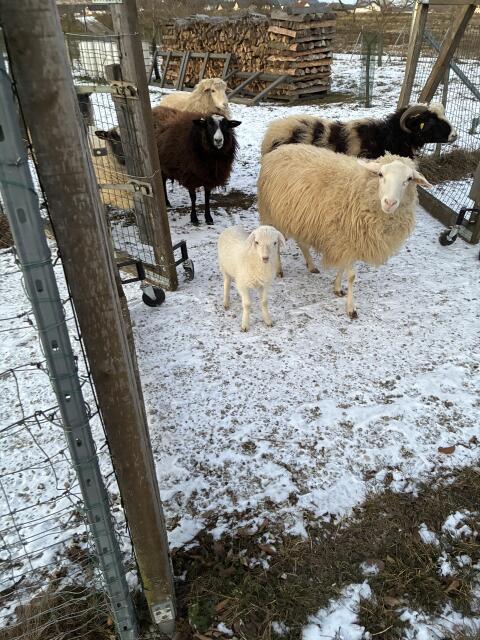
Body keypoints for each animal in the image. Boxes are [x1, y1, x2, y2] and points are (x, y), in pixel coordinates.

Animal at [257, 144, 432, 319]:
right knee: (276, 244)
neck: (363, 190)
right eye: (381, 174)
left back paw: (311, 265)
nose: (390, 202)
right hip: (271, 213)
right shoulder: (344, 238)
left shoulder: (346, 242)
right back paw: (279, 269)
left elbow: (342, 268)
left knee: (301, 242)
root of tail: (279, 150)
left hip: (299, 218)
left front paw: (337, 288)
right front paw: (351, 308)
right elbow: (352, 276)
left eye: (409, 179)